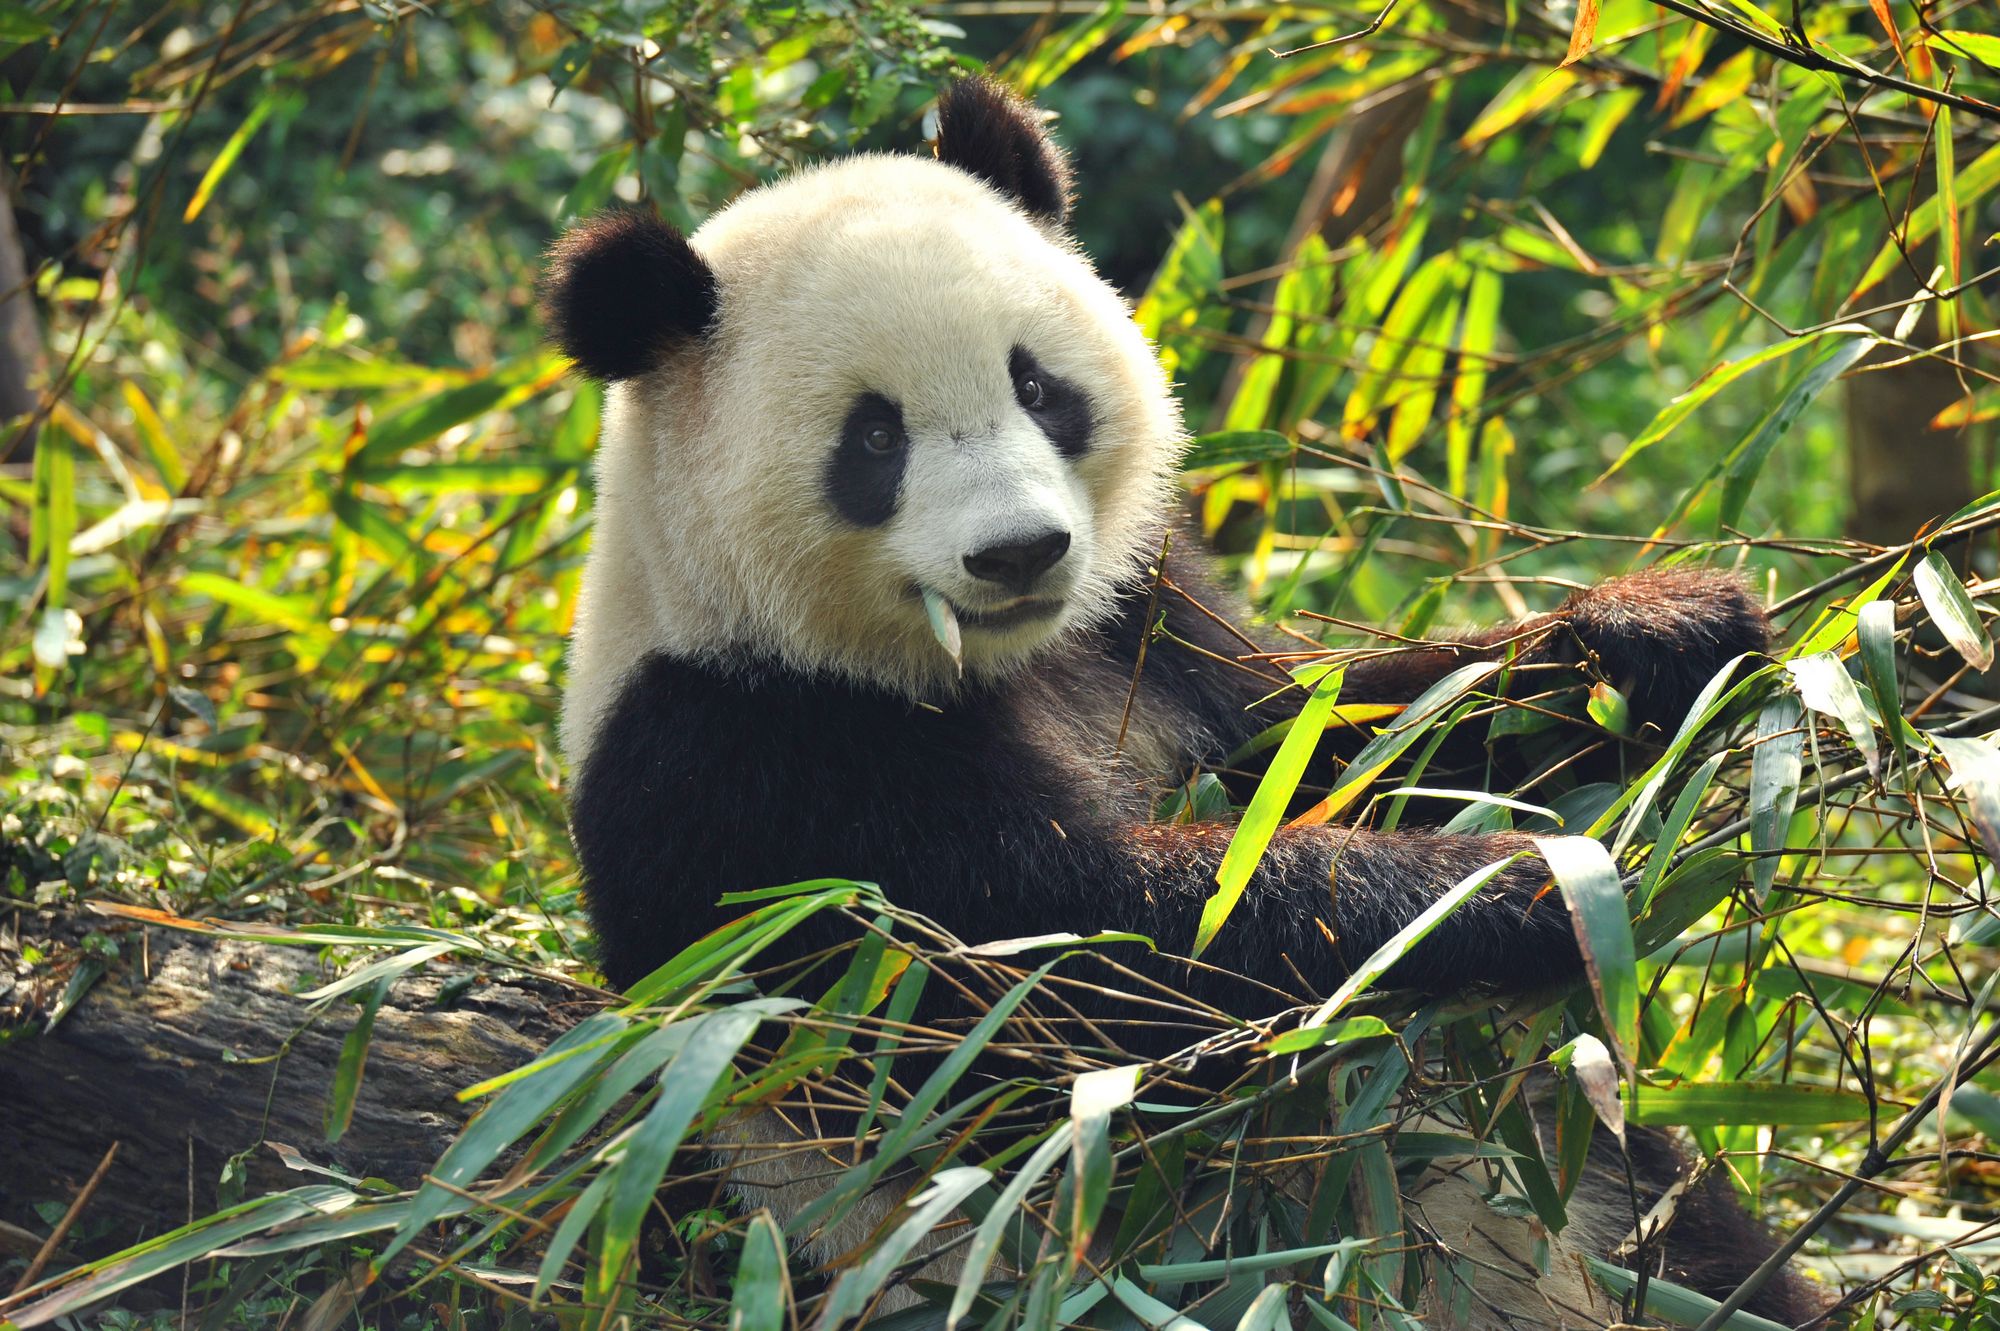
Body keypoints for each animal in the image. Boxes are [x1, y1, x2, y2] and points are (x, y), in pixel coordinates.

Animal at [544, 78, 1819, 1329]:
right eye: (872, 436)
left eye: (1036, 384)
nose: (1018, 551)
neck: (978, 657)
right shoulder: (752, 765)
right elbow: (1072, 964)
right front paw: (1510, 887)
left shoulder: (1139, 626)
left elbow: (1330, 739)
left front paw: (1659, 631)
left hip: (1593, 1177)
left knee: (1702, 1242)